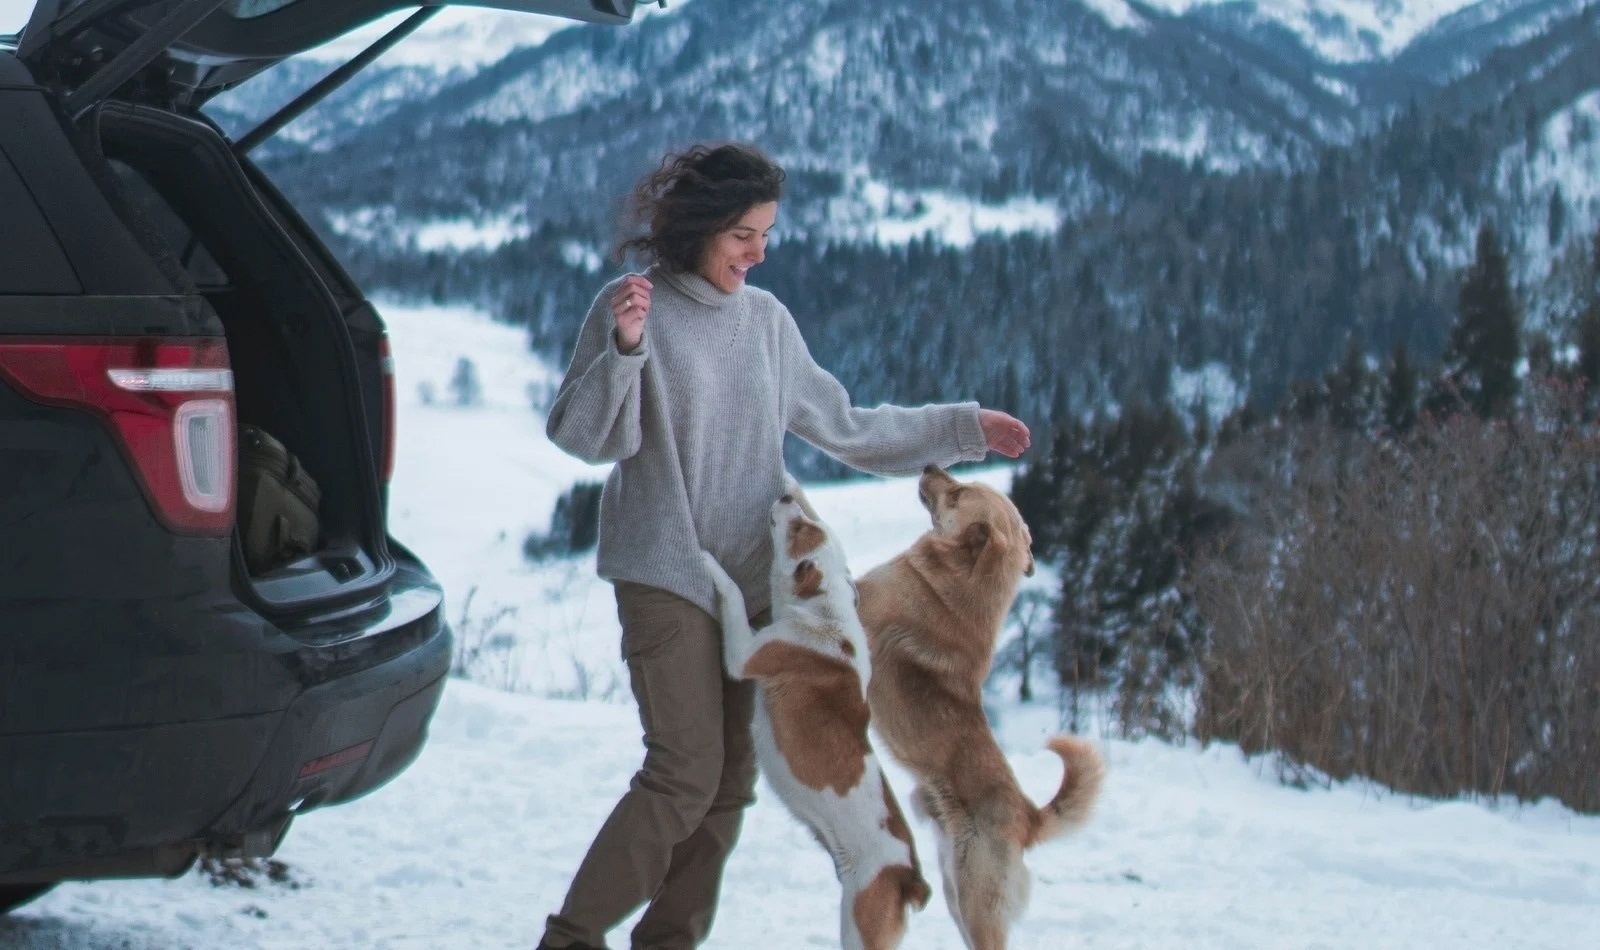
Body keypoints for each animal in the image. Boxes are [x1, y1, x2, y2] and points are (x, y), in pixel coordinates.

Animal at [707, 482, 934, 946]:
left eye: (798, 530)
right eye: (811, 523)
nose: (784, 497)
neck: (825, 613)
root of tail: (910, 878)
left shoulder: (746, 654)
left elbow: (733, 594)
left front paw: (708, 561)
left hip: (860, 922)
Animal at [857, 467, 1107, 946]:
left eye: (957, 494)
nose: (930, 467)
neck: (959, 581)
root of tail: (1028, 817)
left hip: (975, 900)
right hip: (955, 893)